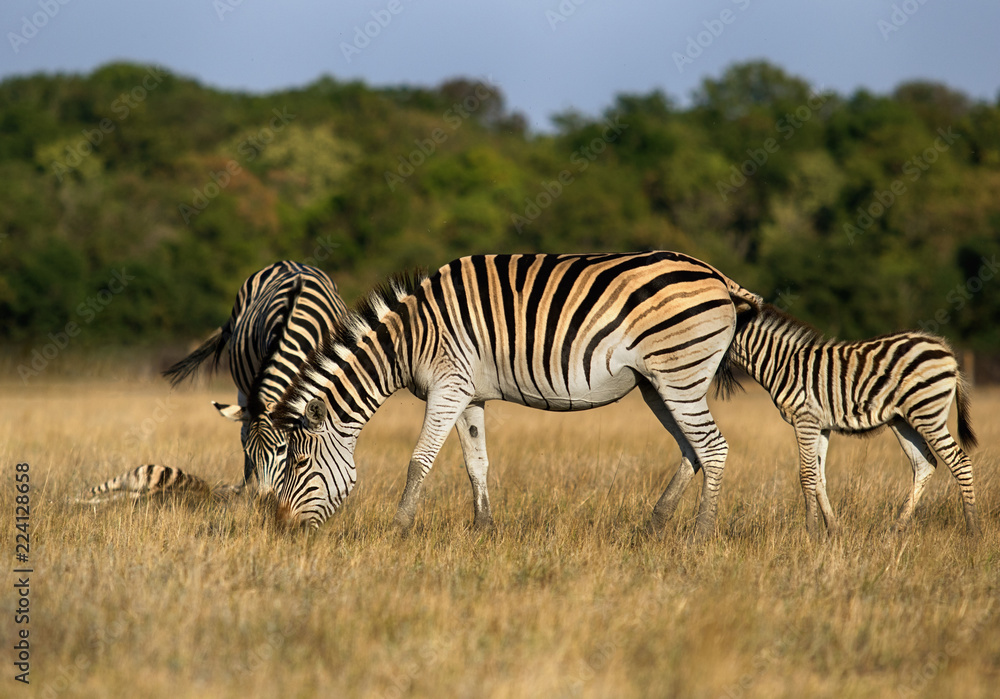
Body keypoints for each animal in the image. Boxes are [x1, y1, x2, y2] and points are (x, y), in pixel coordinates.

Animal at [162, 260, 348, 492]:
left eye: (281, 449)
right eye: (252, 453)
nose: (265, 498)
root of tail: (286, 262)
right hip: (244, 388)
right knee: (243, 429)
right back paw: (244, 487)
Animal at [259, 252, 761, 538]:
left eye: (298, 463)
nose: (282, 529)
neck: (409, 339)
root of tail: (715, 274)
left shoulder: (447, 386)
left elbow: (419, 460)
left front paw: (398, 529)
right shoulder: (468, 394)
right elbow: (475, 462)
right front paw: (484, 530)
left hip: (680, 373)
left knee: (712, 447)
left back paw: (700, 534)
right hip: (658, 383)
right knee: (691, 448)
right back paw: (654, 526)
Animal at [723, 303, 980, 537]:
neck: (780, 364)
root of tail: (945, 348)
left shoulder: (805, 420)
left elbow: (806, 475)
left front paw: (810, 532)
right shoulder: (821, 426)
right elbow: (819, 477)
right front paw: (833, 529)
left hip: (927, 412)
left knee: (959, 461)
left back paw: (972, 531)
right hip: (903, 420)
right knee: (924, 464)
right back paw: (895, 529)